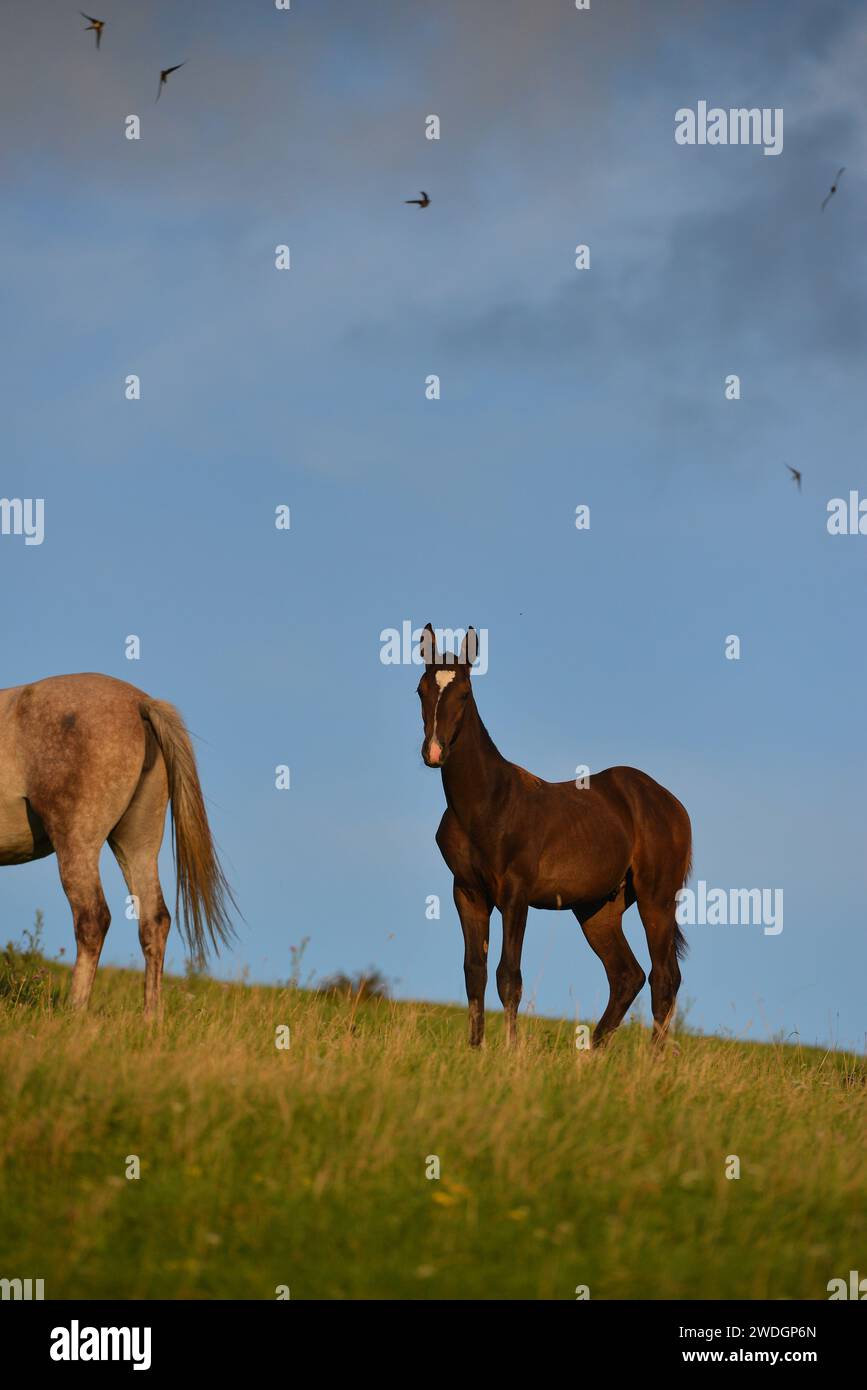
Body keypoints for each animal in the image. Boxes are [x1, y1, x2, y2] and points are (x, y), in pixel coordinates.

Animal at [0, 673, 236, 1016]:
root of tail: (140, 703)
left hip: (77, 845)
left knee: (93, 918)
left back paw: (75, 1010)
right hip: (137, 848)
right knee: (155, 921)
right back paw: (151, 1018)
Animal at [417, 626, 692, 1049]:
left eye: (464, 693)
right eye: (421, 690)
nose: (434, 751)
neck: (486, 802)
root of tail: (670, 803)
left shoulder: (515, 894)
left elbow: (508, 976)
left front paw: (511, 1051)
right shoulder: (467, 892)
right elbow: (474, 971)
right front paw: (475, 1050)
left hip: (657, 899)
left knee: (664, 977)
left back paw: (652, 1060)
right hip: (598, 910)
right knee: (626, 976)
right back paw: (592, 1053)